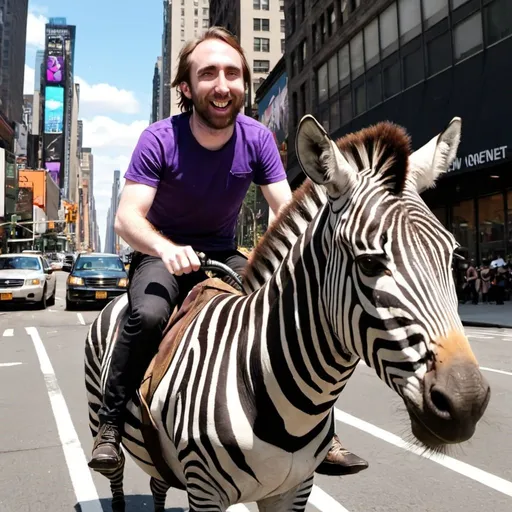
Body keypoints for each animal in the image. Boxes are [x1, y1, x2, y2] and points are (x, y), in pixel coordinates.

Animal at [86, 116, 490, 512]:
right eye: (370, 263)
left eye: (454, 258)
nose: (466, 403)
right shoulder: (204, 490)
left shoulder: (294, 489)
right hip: (100, 412)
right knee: (116, 475)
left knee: (157, 482)